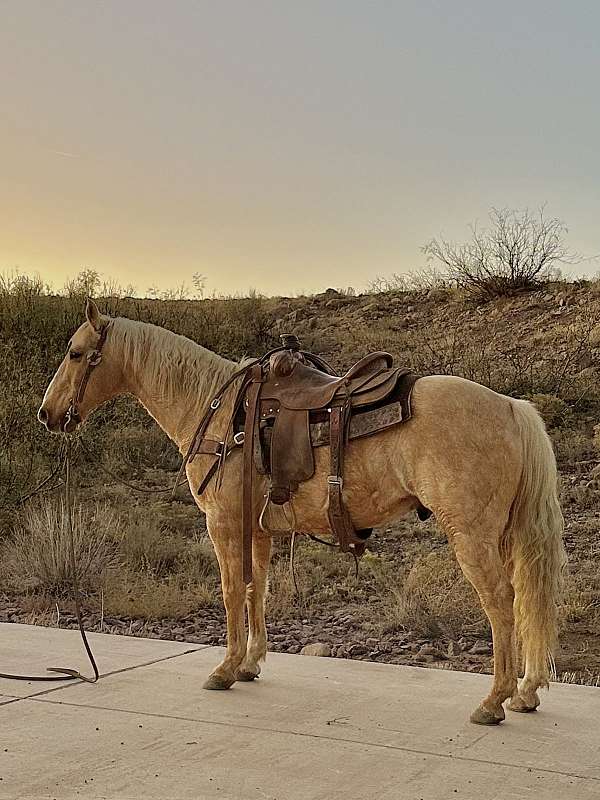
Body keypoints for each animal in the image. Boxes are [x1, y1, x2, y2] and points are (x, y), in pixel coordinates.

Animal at [39, 300, 564, 724]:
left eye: (76, 352)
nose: (47, 415)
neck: (217, 409)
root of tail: (512, 407)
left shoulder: (223, 524)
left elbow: (232, 592)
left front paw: (224, 669)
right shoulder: (258, 530)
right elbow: (257, 590)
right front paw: (250, 664)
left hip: (471, 535)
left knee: (501, 602)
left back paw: (493, 702)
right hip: (507, 535)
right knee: (526, 598)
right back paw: (525, 693)